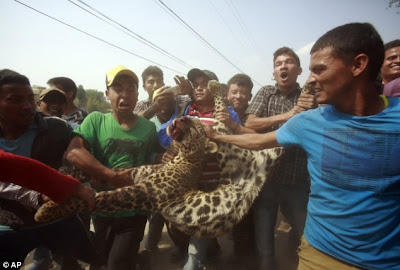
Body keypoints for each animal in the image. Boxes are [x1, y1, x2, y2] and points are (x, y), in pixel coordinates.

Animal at [36, 79, 314, 237]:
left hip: (239, 148)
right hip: (245, 147)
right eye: (188, 117)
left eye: (194, 124)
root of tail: (253, 170)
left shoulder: (147, 191)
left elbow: (100, 198)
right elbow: (100, 173)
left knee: (243, 122)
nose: (181, 119)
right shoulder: (137, 174)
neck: (181, 158)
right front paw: (65, 174)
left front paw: (47, 210)